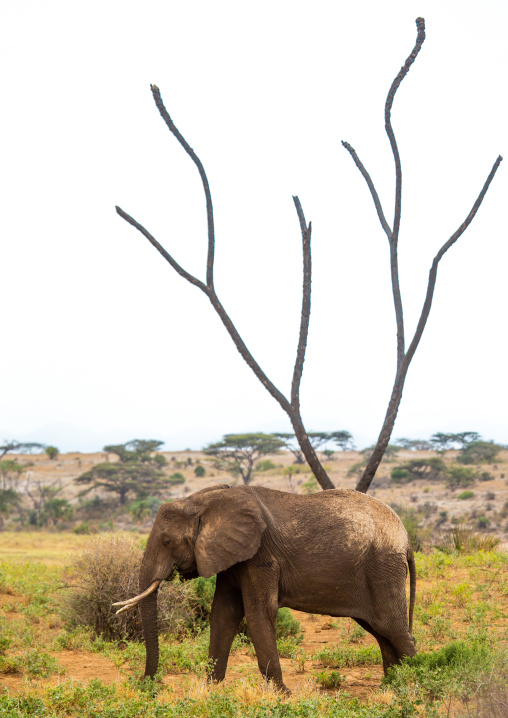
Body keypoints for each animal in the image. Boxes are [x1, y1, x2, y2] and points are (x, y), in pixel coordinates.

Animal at [114, 484, 416, 692]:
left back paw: (415, 685)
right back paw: (392, 686)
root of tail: (406, 538)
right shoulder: (233, 557)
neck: (205, 500)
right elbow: (223, 614)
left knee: (393, 629)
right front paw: (209, 692)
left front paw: (283, 696)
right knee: (381, 631)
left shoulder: (261, 557)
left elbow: (259, 613)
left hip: (382, 568)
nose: (148, 685)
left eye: (166, 541)